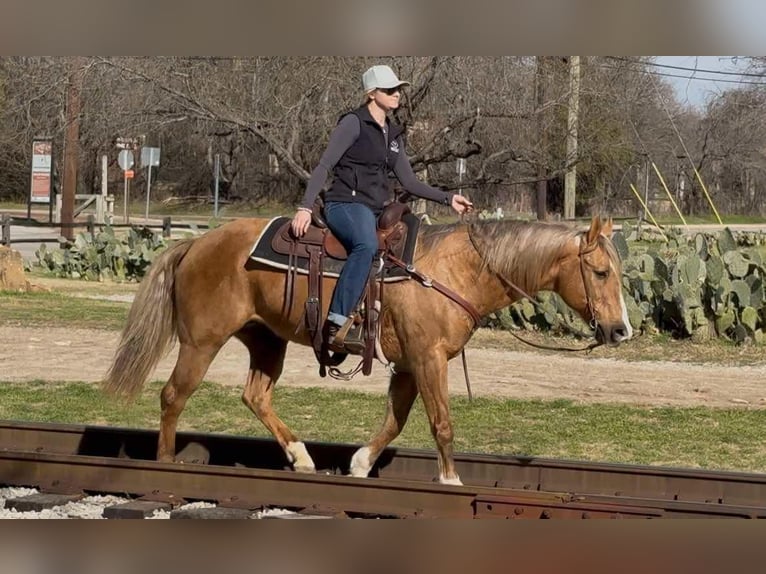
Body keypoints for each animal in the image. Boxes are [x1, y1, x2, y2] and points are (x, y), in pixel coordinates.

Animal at [103, 214, 632, 485]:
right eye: (601, 272)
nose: (622, 330)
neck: (453, 269)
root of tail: (195, 243)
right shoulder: (428, 359)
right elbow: (441, 424)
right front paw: (451, 483)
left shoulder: (408, 364)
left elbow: (395, 421)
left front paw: (359, 464)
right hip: (202, 342)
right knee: (173, 396)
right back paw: (164, 465)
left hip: (266, 340)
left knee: (255, 396)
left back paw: (301, 457)